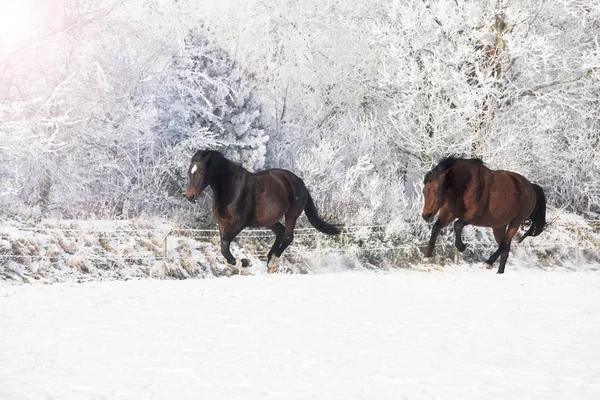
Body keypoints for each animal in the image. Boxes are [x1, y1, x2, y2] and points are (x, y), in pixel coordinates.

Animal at [183, 152, 342, 274]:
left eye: (201, 172)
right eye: (190, 171)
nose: (190, 196)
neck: (231, 187)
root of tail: (300, 182)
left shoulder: (239, 224)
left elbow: (225, 245)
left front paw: (244, 262)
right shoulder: (222, 223)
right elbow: (224, 247)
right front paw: (244, 262)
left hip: (291, 214)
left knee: (288, 237)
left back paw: (272, 262)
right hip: (269, 220)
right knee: (281, 232)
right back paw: (269, 260)